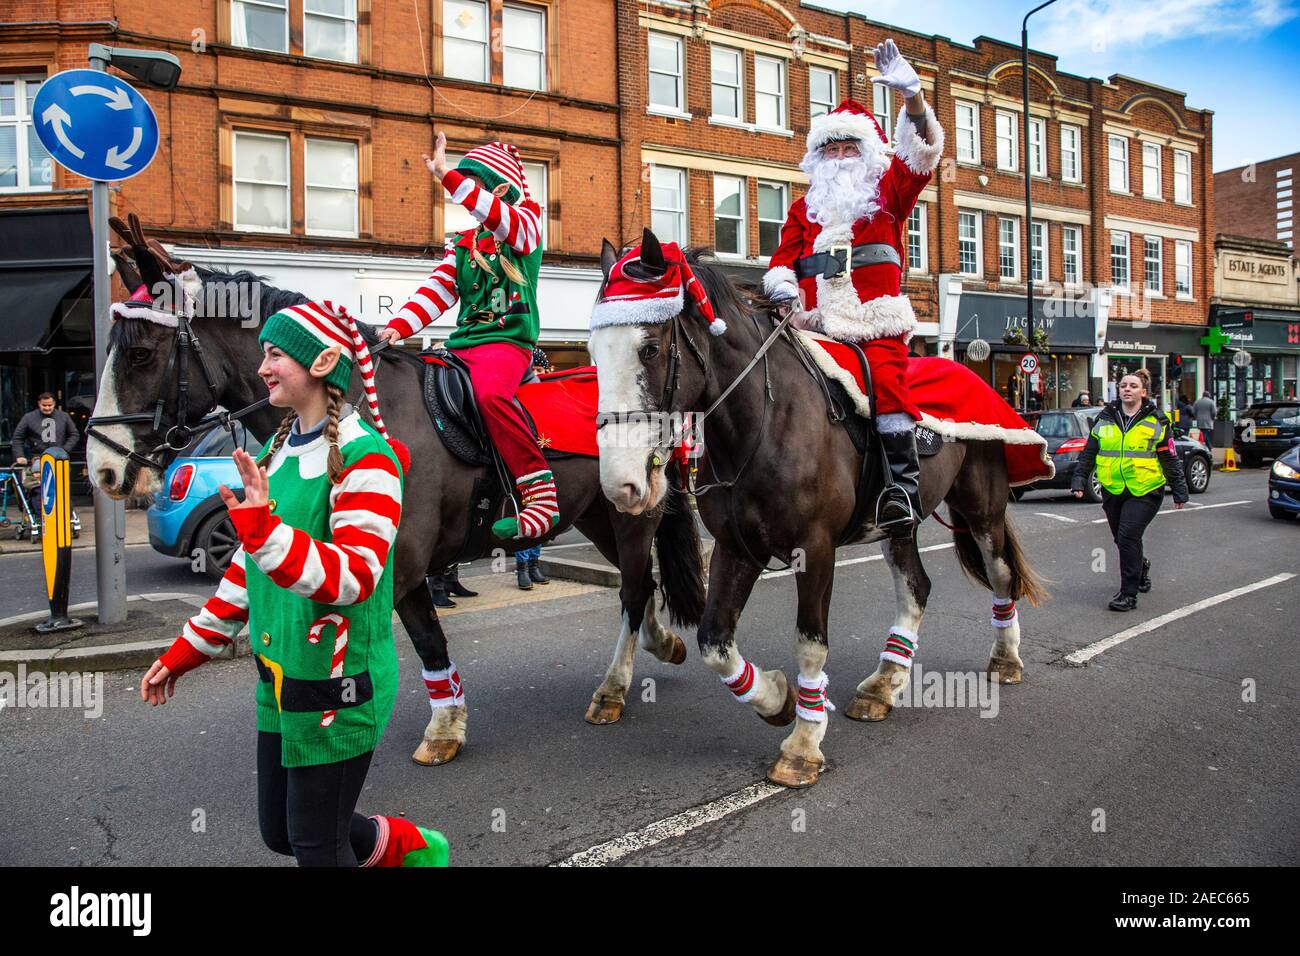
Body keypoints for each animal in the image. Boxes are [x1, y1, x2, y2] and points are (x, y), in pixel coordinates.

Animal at [86, 240, 707, 770]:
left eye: (140, 354)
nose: (102, 468)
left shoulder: (401, 566)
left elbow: (421, 642)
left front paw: (441, 729)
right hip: (600, 514)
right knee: (640, 587)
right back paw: (663, 643)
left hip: (632, 514)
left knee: (633, 589)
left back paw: (614, 689)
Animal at [590, 230, 1045, 785]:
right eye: (592, 353)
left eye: (650, 348)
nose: (621, 486)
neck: (765, 420)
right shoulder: (737, 548)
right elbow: (715, 643)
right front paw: (776, 699)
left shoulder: (816, 548)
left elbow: (810, 642)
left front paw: (803, 744)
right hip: (899, 525)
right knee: (916, 587)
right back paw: (883, 684)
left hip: (983, 509)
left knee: (1001, 576)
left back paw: (1005, 659)